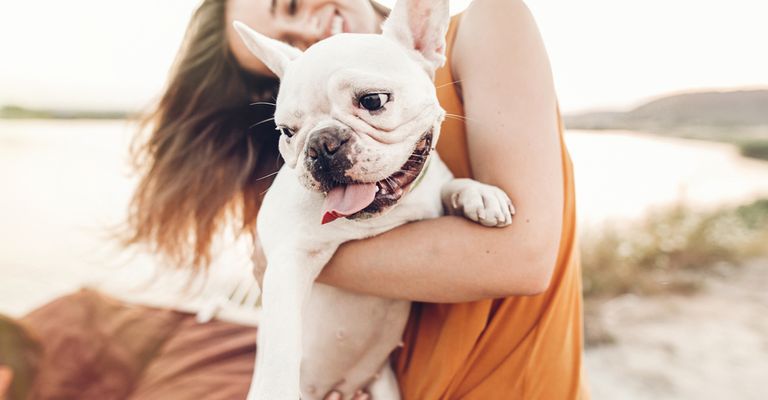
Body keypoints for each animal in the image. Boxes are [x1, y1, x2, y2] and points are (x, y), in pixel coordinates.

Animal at [231, 1, 512, 398]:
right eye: (287, 132)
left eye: (373, 100)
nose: (321, 143)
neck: (378, 217)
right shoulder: (288, 259)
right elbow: (282, 342)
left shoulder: (431, 190)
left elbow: (449, 184)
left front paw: (480, 193)